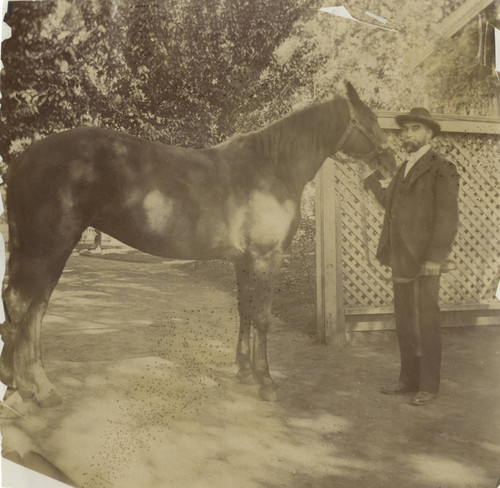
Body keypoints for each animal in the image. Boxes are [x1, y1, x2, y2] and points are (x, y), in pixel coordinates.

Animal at [1, 82, 396, 406]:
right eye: (369, 119)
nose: (390, 161)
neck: (272, 167)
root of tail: (23, 160)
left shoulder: (244, 260)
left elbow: (245, 310)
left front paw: (244, 372)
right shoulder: (267, 257)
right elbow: (263, 317)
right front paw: (267, 383)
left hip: (42, 249)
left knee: (32, 309)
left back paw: (27, 385)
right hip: (49, 248)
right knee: (23, 305)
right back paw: (35, 389)